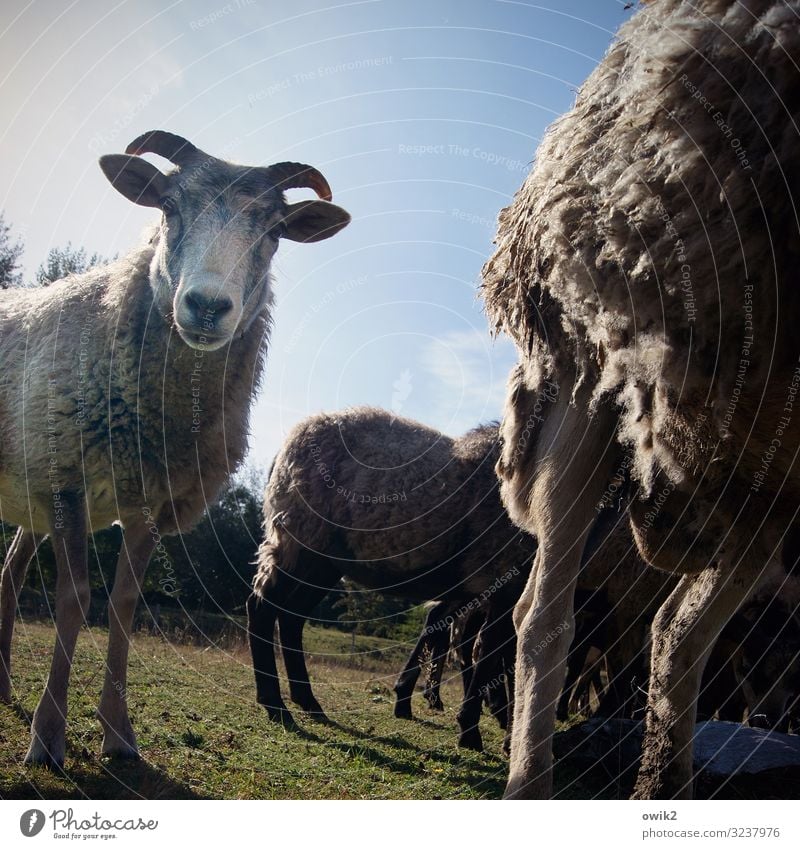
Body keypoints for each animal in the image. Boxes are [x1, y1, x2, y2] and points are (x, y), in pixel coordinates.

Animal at [0, 127, 350, 768]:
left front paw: (119, 735)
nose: (207, 306)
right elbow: (73, 598)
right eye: (168, 207)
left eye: (273, 231)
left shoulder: (147, 501)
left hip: (30, 498)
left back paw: (3, 681)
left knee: (11, 573)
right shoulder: (68, 481)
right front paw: (47, 737)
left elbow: (123, 604)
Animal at [245, 410, 532, 748]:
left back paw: (308, 702)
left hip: (324, 561)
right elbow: (492, 656)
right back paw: (275, 704)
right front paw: (473, 734)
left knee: (291, 617)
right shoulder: (503, 576)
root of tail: (285, 450)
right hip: (302, 538)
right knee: (263, 608)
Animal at [482, 0, 800, 800]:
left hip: (758, 468)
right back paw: (531, 782)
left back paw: (665, 786)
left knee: (676, 633)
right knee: (544, 618)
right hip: (595, 366)